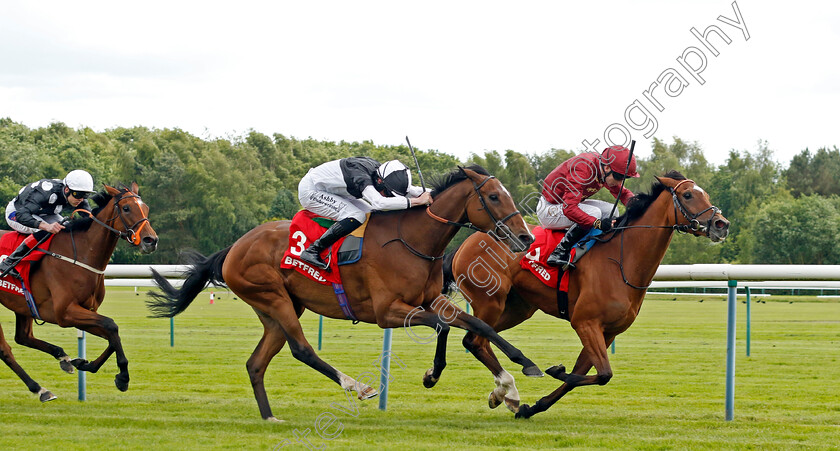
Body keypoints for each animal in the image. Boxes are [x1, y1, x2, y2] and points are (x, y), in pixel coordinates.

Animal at [0, 184, 157, 402]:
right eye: (126, 208)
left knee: (23, 337)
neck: (81, 254)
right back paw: (39, 388)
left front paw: (84, 363)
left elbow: (111, 334)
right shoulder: (65, 313)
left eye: (146, 208)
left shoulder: (86, 311)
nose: (151, 240)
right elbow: (111, 325)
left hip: (22, 305)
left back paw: (61, 358)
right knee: (5, 349)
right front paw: (123, 377)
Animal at [147, 167, 540, 424]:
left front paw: (515, 376)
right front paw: (436, 375)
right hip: (272, 297)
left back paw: (270, 417)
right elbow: (444, 327)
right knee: (302, 349)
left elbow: (475, 325)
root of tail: (234, 247)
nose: (525, 238)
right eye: (493, 196)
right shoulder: (387, 312)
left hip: (278, 309)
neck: (412, 240)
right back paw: (358, 386)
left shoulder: (429, 300)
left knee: (256, 363)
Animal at [440, 171, 728, 418]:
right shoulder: (585, 322)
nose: (721, 224)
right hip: (491, 301)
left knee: (475, 338)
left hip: (517, 308)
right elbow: (603, 374)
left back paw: (501, 392)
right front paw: (555, 370)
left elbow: (587, 374)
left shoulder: (607, 331)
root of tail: (467, 242)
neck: (621, 261)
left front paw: (533, 406)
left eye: (705, 194)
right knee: (476, 338)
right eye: (688, 195)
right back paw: (507, 386)